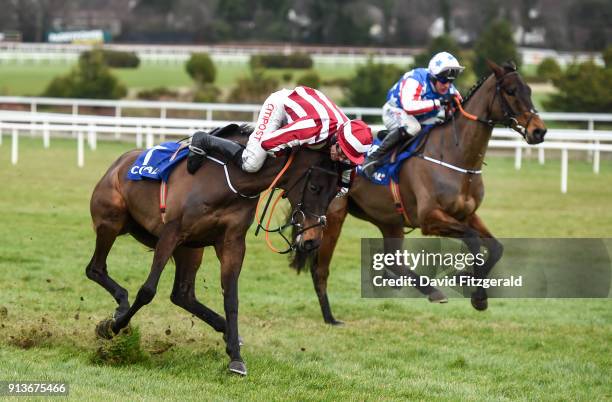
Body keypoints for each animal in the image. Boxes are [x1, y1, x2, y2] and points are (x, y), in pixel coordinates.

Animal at [88, 124, 342, 376]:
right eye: (314, 187)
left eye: (335, 194)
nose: (312, 241)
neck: (232, 181)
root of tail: (118, 163)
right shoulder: (171, 233)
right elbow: (147, 291)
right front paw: (112, 327)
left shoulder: (232, 243)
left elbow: (231, 298)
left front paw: (236, 357)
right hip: (112, 221)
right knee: (94, 269)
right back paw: (121, 304)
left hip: (190, 249)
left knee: (182, 294)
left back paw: (228, 333)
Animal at [290, 60, 548, 324]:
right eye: (510, 91)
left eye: (529, 90)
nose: (539, 131)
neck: (454, 155)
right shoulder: (430, 219)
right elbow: (474, 241)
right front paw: (466, 280)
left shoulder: (467, 214)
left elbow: (496, 248)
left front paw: (476, 293)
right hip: (333, 216)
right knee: (320, 269)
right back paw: (330, 317)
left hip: (388, 220)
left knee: (394, 261)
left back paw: (427, 290)